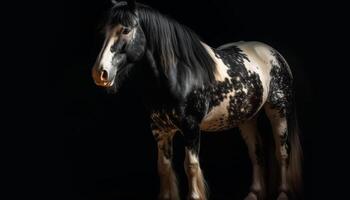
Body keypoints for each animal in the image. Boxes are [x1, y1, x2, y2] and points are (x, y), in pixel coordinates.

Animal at [91, 0, 302, 199]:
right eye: (104, 30)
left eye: (126, 29)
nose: (100, 73)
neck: (179, 75)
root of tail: (274, 54)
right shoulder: (160, 130)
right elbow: (163, 167)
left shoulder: (191, 128)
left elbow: (191, 166)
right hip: (247, 118)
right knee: (256, 153)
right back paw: (253, 193)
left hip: (278, 111)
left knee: (282, 152)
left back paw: (283, 193)